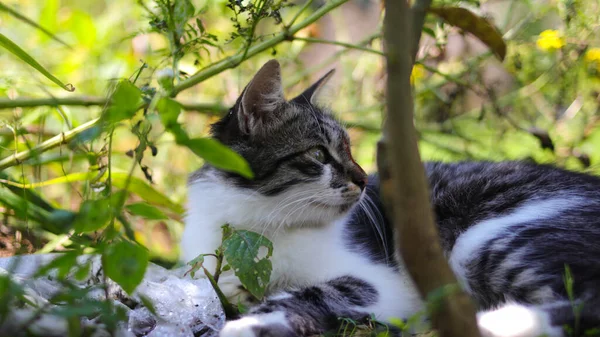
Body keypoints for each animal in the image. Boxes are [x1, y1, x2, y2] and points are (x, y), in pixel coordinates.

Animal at [182, 59, 600, 336]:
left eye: (349, 150)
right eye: (318, 154)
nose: (365, 178)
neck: (257, 227)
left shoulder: (384, 280)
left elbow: (317, 292)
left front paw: (252, 322)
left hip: (486, 239)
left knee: (588, 302)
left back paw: (495, 321)